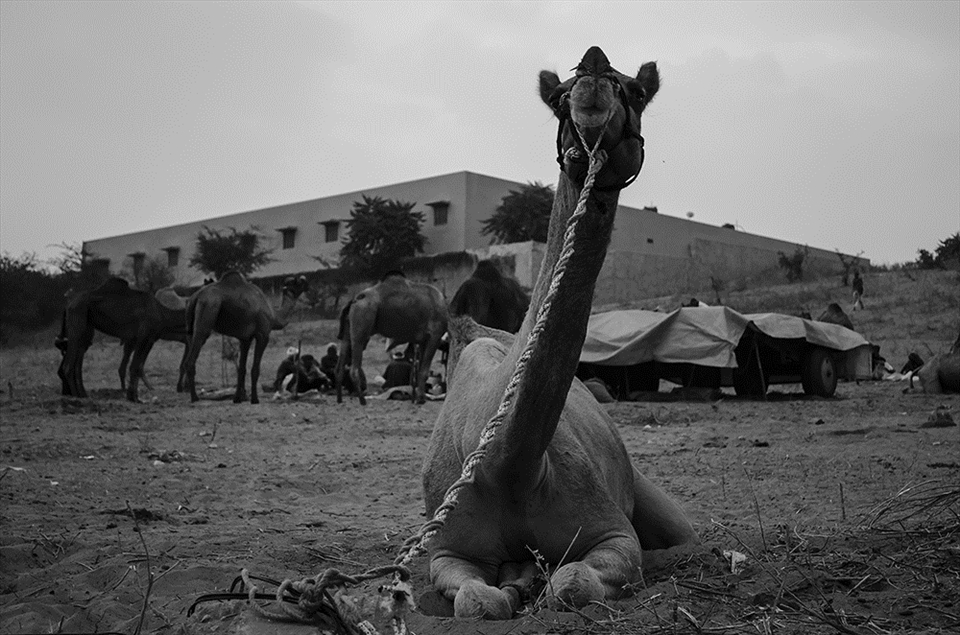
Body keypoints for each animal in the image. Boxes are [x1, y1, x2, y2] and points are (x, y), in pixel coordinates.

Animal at [56, 278, 190, 402]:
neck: (162, 313)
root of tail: (68, 304)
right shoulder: (143, 337)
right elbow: (135, 366)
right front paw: (133, 398)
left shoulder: (149, 339)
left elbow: (137, 367)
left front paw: (134, 396)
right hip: (77, 323)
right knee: (68, 366)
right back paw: (78, 396)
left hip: (86, 328)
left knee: (77, 362)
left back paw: (83, 394)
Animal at [182, 271, 307, 404]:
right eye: (298, 282)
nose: (306, 282)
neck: (274, 315)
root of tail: (195, 298)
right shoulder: (262, 335)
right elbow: (255, 369)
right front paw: (255, 399)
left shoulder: (245, 339)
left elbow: (241, 369)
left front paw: (237, 398)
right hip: (206, 314)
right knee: (192, 357)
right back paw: (194, 397)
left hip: (190, 329)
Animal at [335, 272, 448, 405]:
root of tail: (354, 300)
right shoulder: (435, 336)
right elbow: (424, 371)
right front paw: (420, 399)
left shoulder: (423, 340)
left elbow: (420, 370)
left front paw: (419, 398)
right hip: (361, 326)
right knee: (354, 368)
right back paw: (362, 400)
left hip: (347, 331)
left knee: (341, 363)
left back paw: (340, 399)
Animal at [420, 47, 697, 620]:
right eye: (557, 98)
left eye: (638, 91)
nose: (593, 69)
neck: (509, 468)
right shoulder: (446, 550)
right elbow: (478, 600)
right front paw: (510, 587)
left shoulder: (613, 533)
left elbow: (571, 583)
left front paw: (538, 584)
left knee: (683, 536)